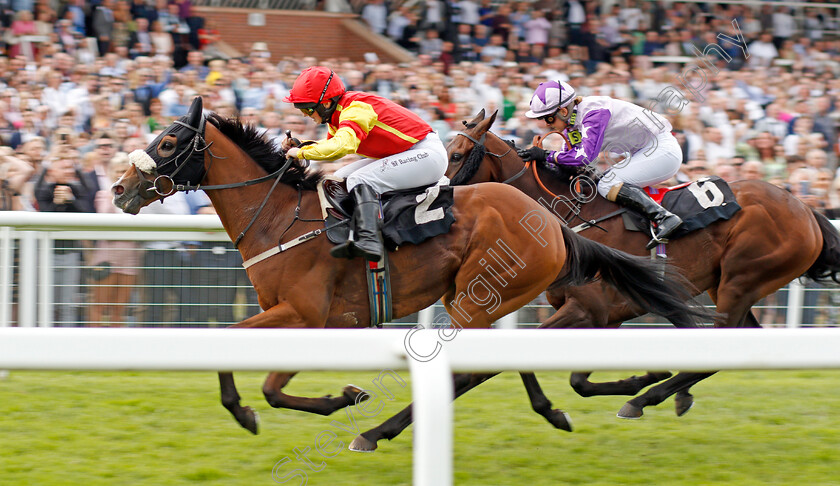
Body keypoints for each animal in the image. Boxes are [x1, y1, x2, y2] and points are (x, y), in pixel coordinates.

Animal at [108, 98, 704, 448]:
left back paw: (377, 432)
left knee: (470, 371)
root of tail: (551, 222)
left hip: (474, 299)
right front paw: (285, 404)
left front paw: (338, 400)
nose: (118, 189)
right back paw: (566, 406)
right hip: (488, 299)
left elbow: (262, 377)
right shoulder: (302, 317)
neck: (279, 216)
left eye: (167, 142)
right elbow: (252, 368)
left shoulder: (302, 313)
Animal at [442, 110, 840, 418]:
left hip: (741, 281)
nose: (435, 194)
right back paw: (669, 394)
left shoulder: (589, 309)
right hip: (723, 285)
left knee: (717, 346)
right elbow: (577, 381)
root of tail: (805, 209)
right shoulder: (607, 316)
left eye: (458, 155)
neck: (568, 217)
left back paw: (645, 400)